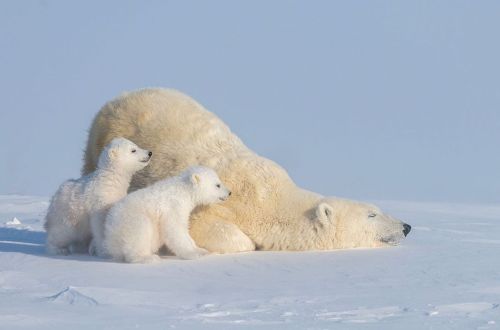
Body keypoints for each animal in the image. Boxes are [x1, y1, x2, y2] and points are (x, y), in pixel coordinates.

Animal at [82, 87, 410, 253]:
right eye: (372, 214)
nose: (406, 226)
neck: (270, 199)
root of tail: (120, 96)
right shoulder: (225, 200)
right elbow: (211, 228)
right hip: (103, 139)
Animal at [104, 166, 232, 264]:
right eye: (218, 185)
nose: (229, 192)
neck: (184, 190)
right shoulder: (173, 206)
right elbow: (175, 229)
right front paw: (192, 254)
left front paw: (201, 250)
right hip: (132, 219)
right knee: (140, 232)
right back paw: (148, 258)